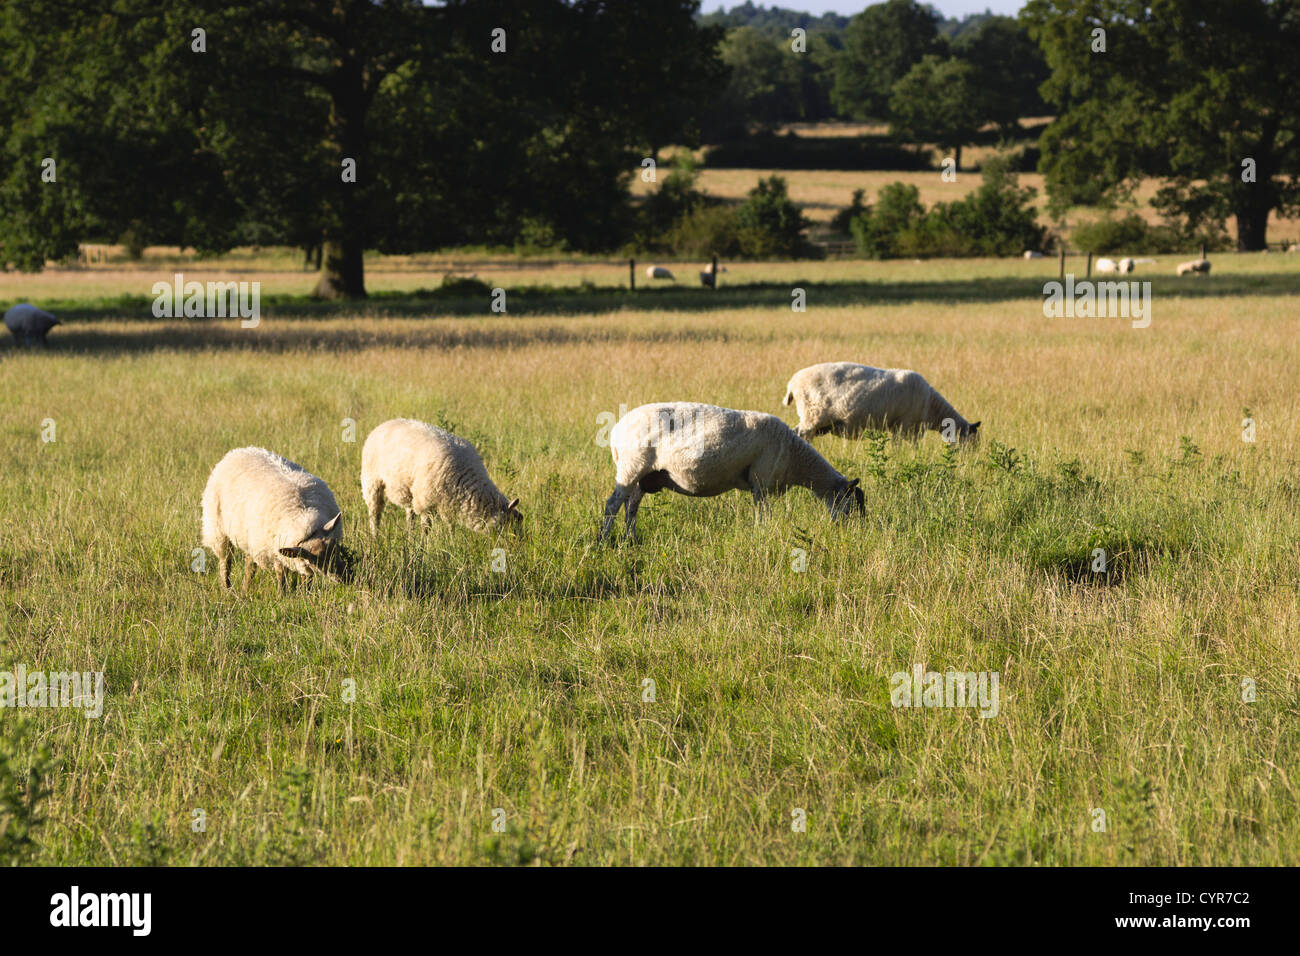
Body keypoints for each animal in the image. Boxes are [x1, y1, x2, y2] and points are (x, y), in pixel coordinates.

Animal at [200, 447, 351, 595]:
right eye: (315, 560)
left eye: (336, 549)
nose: (346, 577)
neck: (304, 517)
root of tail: (237, 451)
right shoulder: (276, 551)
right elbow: (281, 574)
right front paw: (281, 595)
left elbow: (306, 577)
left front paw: (306, 594)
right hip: (219, 532)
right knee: (225, 563)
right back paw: (227, 590)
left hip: (251, 538)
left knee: (249, 564)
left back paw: (245, 590)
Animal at [358, 418, 520, 538]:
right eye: (508, 525)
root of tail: (385, 423)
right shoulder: (425, 503)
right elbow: (426, 529)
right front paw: (422, 549)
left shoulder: (448, 504)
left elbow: (450, 526)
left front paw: (451, 542)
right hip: (372, 483)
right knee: (375, 515)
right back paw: (375, 538)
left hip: (410, 491)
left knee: (409, 517)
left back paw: (409, 538)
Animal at [598, 400, 863, 541]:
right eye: (851, 504)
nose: (853, 532)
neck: (794, 457)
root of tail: (617, 430)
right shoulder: (761, 480)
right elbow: (764, 513)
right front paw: (762, 533)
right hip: (631, 467)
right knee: (613, 505)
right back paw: (603, 540)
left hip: (644, 475)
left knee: (631, 506)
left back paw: (631, 538)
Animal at [774, 361, 977, 444]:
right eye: (970, 440)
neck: (933, 407)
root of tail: (792, 382)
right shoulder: (907, 425)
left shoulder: (898, 427)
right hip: (812, 416)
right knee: (800, 434)